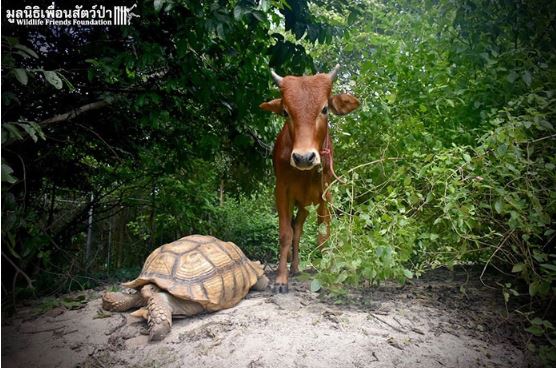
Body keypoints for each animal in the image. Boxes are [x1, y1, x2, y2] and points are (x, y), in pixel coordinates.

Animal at [258, 64, 358, 292]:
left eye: (325, 109)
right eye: (285, 112)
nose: (303, 157)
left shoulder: (325, 194)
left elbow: (323, 235)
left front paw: (326, 273)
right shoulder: (281, 190)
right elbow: (285, 234)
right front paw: (281, 279)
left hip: (306, 205)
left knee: (299, 229)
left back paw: (296, 267)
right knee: (295, 231)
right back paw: (293, 267)